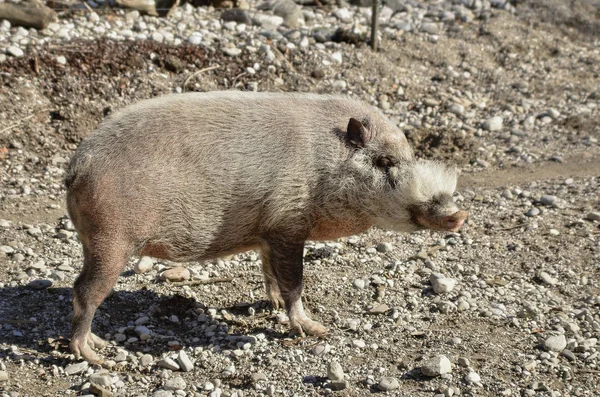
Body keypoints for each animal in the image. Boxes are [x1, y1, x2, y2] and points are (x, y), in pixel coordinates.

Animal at [67, 89, 468, 362]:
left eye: (409, 158)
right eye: (385, 162)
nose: (457, 215)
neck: (325, 166)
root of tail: (78, 165)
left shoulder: (268, 234)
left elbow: (269, 270)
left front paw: (272, 303)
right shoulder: (288, 223)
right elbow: (295, 282)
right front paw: (316, 329)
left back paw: (97, 347)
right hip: (113, 239)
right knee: (83, 291)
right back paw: (95, 355)